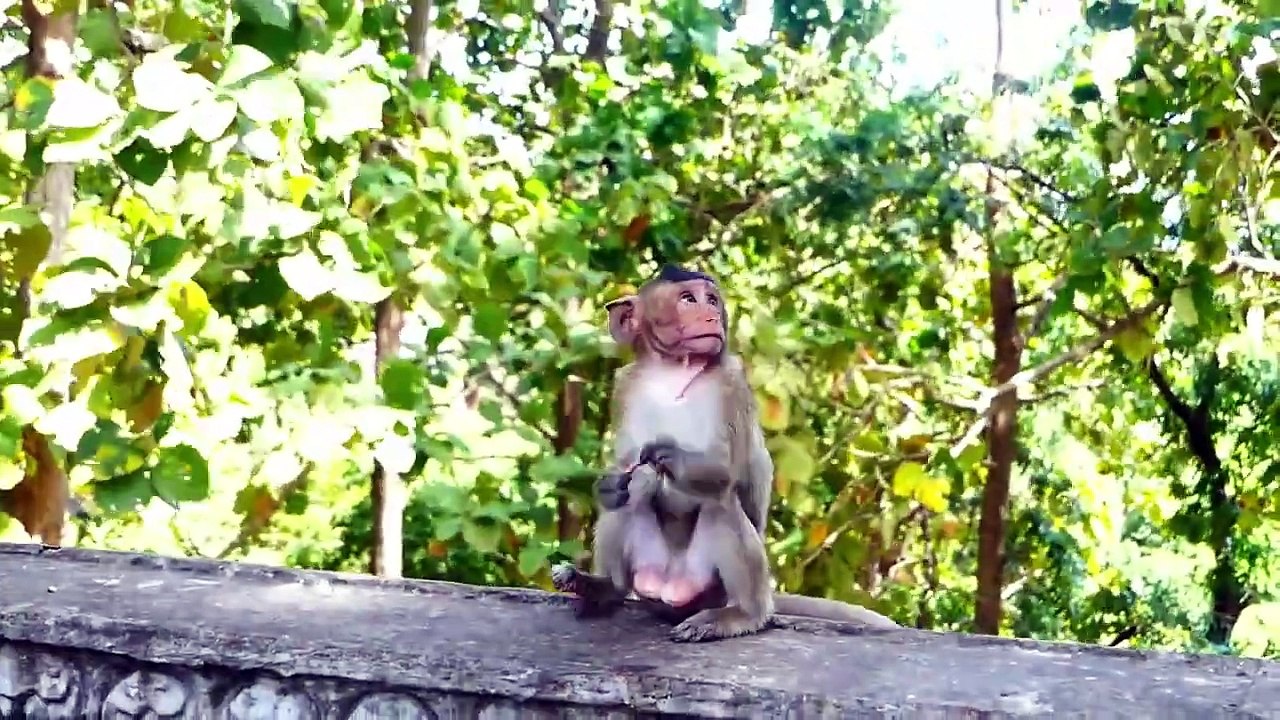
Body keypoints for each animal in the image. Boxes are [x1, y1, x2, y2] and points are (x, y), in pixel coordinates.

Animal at [552, 264, 899, 642]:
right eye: (688, 299)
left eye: (712, 299)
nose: (711, 315)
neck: (672, 372)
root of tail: (669, 584)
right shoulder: (626, 386)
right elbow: (624, 471)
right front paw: (608, 485)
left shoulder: (731, 384)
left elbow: (724, 473)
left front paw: (667, 455)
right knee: (630, 497)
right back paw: (604, 587)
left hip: (708, 585)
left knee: (720, 504)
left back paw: (742, 615)